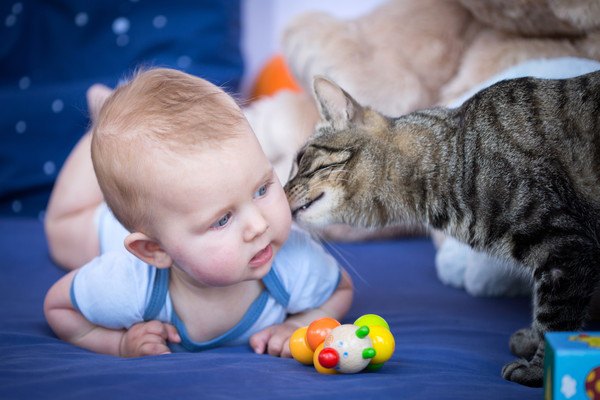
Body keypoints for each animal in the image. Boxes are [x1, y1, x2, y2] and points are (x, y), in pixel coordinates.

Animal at [284, 72, 600, 388]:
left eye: (300, 159)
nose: (281, 190)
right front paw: (531, 341)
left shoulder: (565, 249)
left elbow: (554, 319)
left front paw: (539, 370)